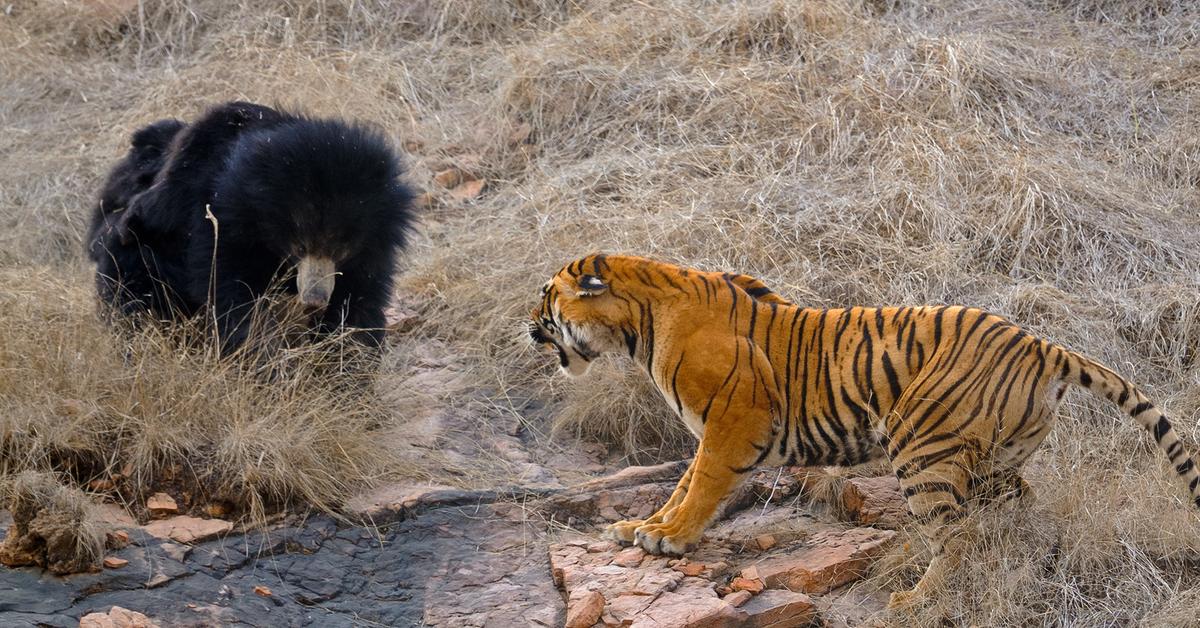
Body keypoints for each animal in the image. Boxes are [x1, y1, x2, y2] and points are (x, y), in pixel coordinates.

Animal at [87, 99, 417, 353]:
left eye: (341, 249)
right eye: (300, 246)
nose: (314, 300)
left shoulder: (373, 247)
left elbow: (359, 299)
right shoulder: (221, 224)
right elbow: (233, 294)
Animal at [530, 254, 1200, 609]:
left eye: (546, 298)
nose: (528, 327)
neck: (638, 326)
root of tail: (1043, 345)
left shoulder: (732, 423)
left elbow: (700, 487)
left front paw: (667, 539)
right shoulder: (713, 430)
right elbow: (682, 486)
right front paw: (642, 527)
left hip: (920, 446)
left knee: (955, 535)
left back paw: (915, 600)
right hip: (992, 461)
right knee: (1015, 511)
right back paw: (1023, 564)